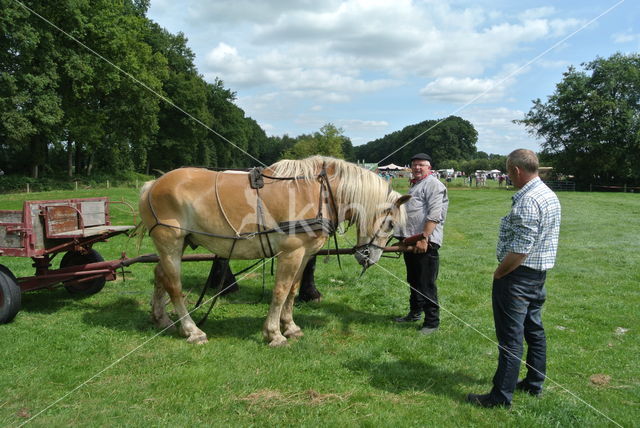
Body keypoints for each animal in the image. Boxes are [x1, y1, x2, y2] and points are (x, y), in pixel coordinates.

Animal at [139, 155, 410, 346]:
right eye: (390, 224)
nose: (369, 257)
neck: (319, 193)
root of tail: (153, 184)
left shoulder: (304, 253)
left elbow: (293, 290)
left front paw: (290, 327)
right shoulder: (291, 252)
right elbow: (280, 291)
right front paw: (274, 333)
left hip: (179, 244)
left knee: (159, 275)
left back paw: (161, 319)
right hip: (171, 243)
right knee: (174, 285)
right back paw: (192, 330)